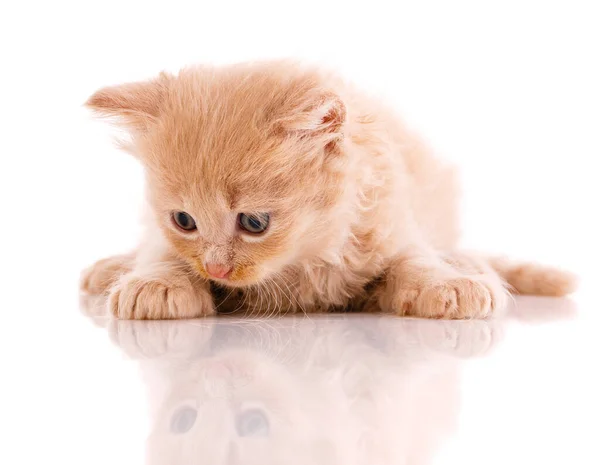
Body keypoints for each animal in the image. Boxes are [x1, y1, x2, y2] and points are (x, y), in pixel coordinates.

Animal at [79, 59, 576, 320]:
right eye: (184, 220)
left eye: (254, 223)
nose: (217, 269)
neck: (303, 261)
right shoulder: (166, 238)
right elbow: (162, 252)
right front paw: (156, 283)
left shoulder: (389, 223)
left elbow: (414, 259)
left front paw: (446, 282)